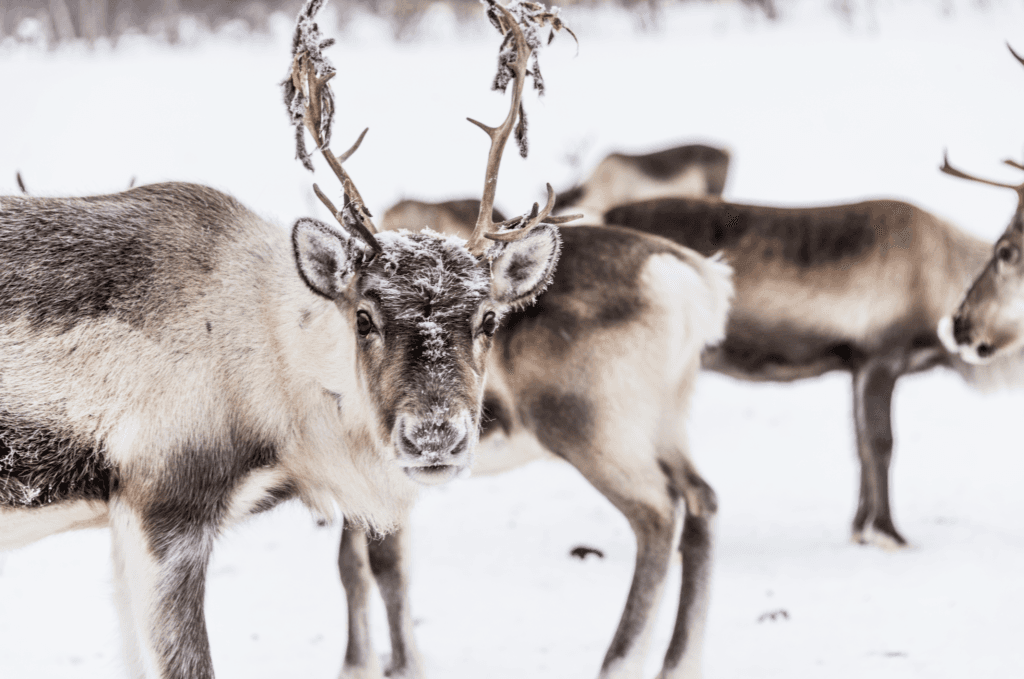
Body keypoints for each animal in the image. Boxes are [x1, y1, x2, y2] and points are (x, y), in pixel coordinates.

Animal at [336, 3, 734, 678]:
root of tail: (689, 279)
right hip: (665, 416)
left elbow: (383, 565)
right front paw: (359, 662)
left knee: (660, 514)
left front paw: (396, 663)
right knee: (702, 500)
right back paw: (678, 661)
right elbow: (354, 565)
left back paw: (618, 660)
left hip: (591, 424)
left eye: (486, 320)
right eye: (365, 317)